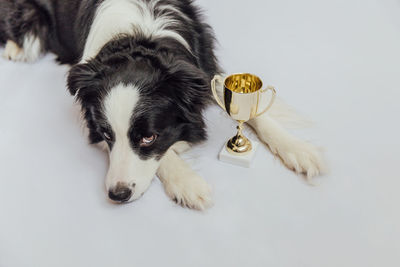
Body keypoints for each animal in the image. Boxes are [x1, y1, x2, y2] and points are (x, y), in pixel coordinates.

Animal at [0, 0, 324, 210]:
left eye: (148, 136)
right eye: (106, 135)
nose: (117, 195)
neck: (142, 37)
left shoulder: (204, 72)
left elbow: (253, 111)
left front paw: (300, 150)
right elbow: (165, 155)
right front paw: (188, 183)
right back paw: (15, 48)